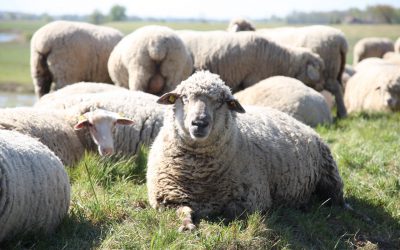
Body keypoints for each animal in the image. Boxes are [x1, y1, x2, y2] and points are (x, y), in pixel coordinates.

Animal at [146, 70, 344, 230]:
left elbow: (230, 211)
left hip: (329, 173)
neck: (199, 176)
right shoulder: (167, 198)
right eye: (184, 98)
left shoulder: (252, 199)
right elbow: (183, 211)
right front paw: (187, 225)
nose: (200, 123)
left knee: (336, 198)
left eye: (221, 102)